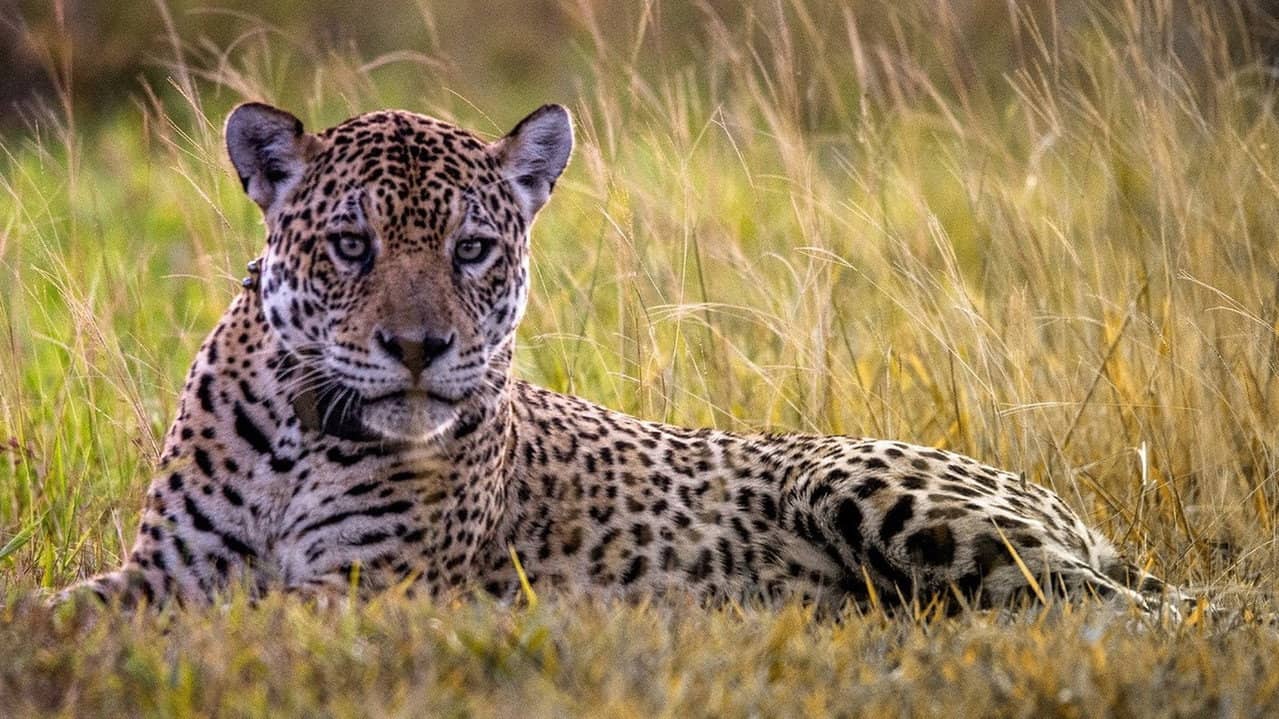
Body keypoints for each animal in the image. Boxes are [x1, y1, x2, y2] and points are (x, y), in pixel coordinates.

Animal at [56, 101, 1186, 615]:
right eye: (351, 245)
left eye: (474, 248)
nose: (419, 348)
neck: (297, 438)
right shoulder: (163, 568)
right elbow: (68, 608)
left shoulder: (370, 588)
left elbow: (227, 615)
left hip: (879, 491)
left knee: (1142, 607)